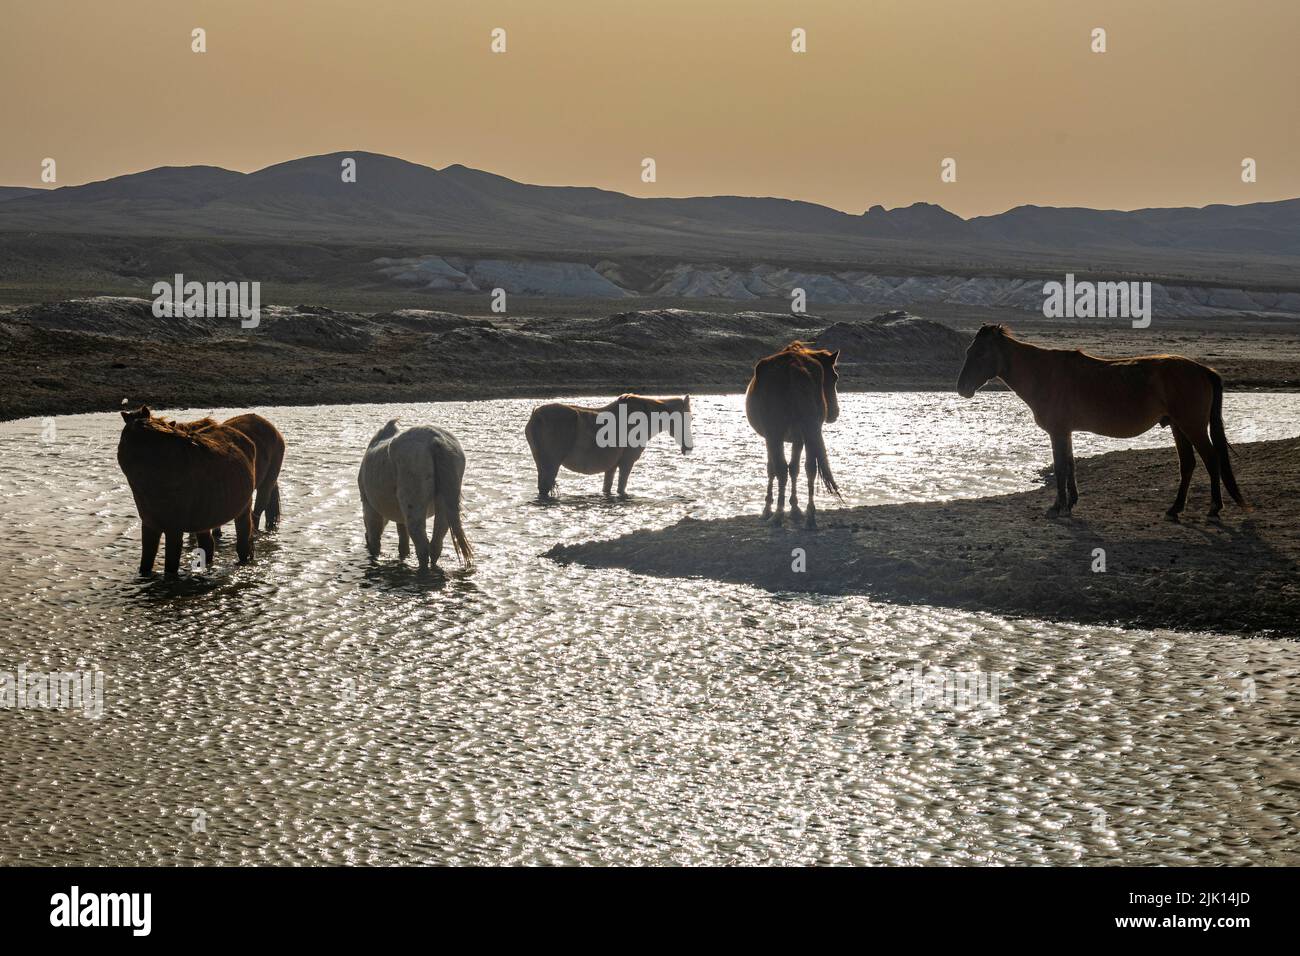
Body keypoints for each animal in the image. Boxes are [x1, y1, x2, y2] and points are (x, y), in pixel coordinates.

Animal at [116, 405, 258, 574]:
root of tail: (245, 438)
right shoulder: (150, 525)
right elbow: (145, 564)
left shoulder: (174, 529)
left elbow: (170, 567)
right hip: (206, 515)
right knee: (208, 546)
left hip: (243, 509)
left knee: (243, 544)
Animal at [356, 416, 473, 567]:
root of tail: (436, 440)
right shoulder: (400, 516)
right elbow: (403, 542)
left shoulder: (370, 507)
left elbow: (376, 541)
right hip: (444, 504)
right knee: (436, 544)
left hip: (413, 505)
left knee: (422, 547)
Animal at [525, 395, 696, 502]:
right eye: (688, 418)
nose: (688, 447)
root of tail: (535, 416)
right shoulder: (626, 463)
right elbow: (621, 489)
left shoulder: (611, 467)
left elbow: (607, 489)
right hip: (551, 465)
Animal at [743, 340, 842, 528]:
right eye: (834, 377)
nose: (834, 413)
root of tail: (794, 367)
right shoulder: (798, 439)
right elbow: (795, 469)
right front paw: (795, 508)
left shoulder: (771, 438)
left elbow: (773, 469)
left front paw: (767, 509)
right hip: (809, 432)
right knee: (810, 468)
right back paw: (810, 516)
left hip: (776, 435)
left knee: (781, 470)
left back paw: (778, 515)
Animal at [956, 325, 1248, 520]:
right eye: (968, 350)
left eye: (980, 354)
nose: (962, 388)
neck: (1043, 374)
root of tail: (1202, 370)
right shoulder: (1065, 432)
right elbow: (1070, 465)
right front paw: (1070, 503)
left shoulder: (1057, 432)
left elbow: (1060, 467)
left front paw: (1057, 507)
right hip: (1179, 427)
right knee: (1187, 464)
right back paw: (1175, 508)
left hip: (1192, 426)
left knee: (1211, 459)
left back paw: (1214, 508)